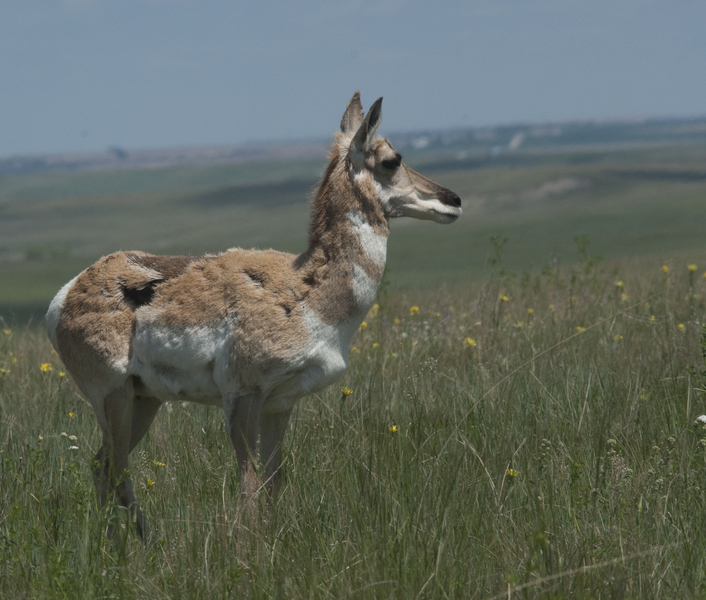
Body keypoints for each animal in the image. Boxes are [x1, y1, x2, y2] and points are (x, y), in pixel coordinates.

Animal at [45, 94, 462, 540]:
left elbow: (275, 480)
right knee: (116, 469)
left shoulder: (280, 404)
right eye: (391, 159)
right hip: (114, 396)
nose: (454, 200)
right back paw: (144, 543)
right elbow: (249, 484)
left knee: (102, 466)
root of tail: (66, 293)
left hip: (145, 400)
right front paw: (251, 549)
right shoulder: (243, 396)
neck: (308, 290)